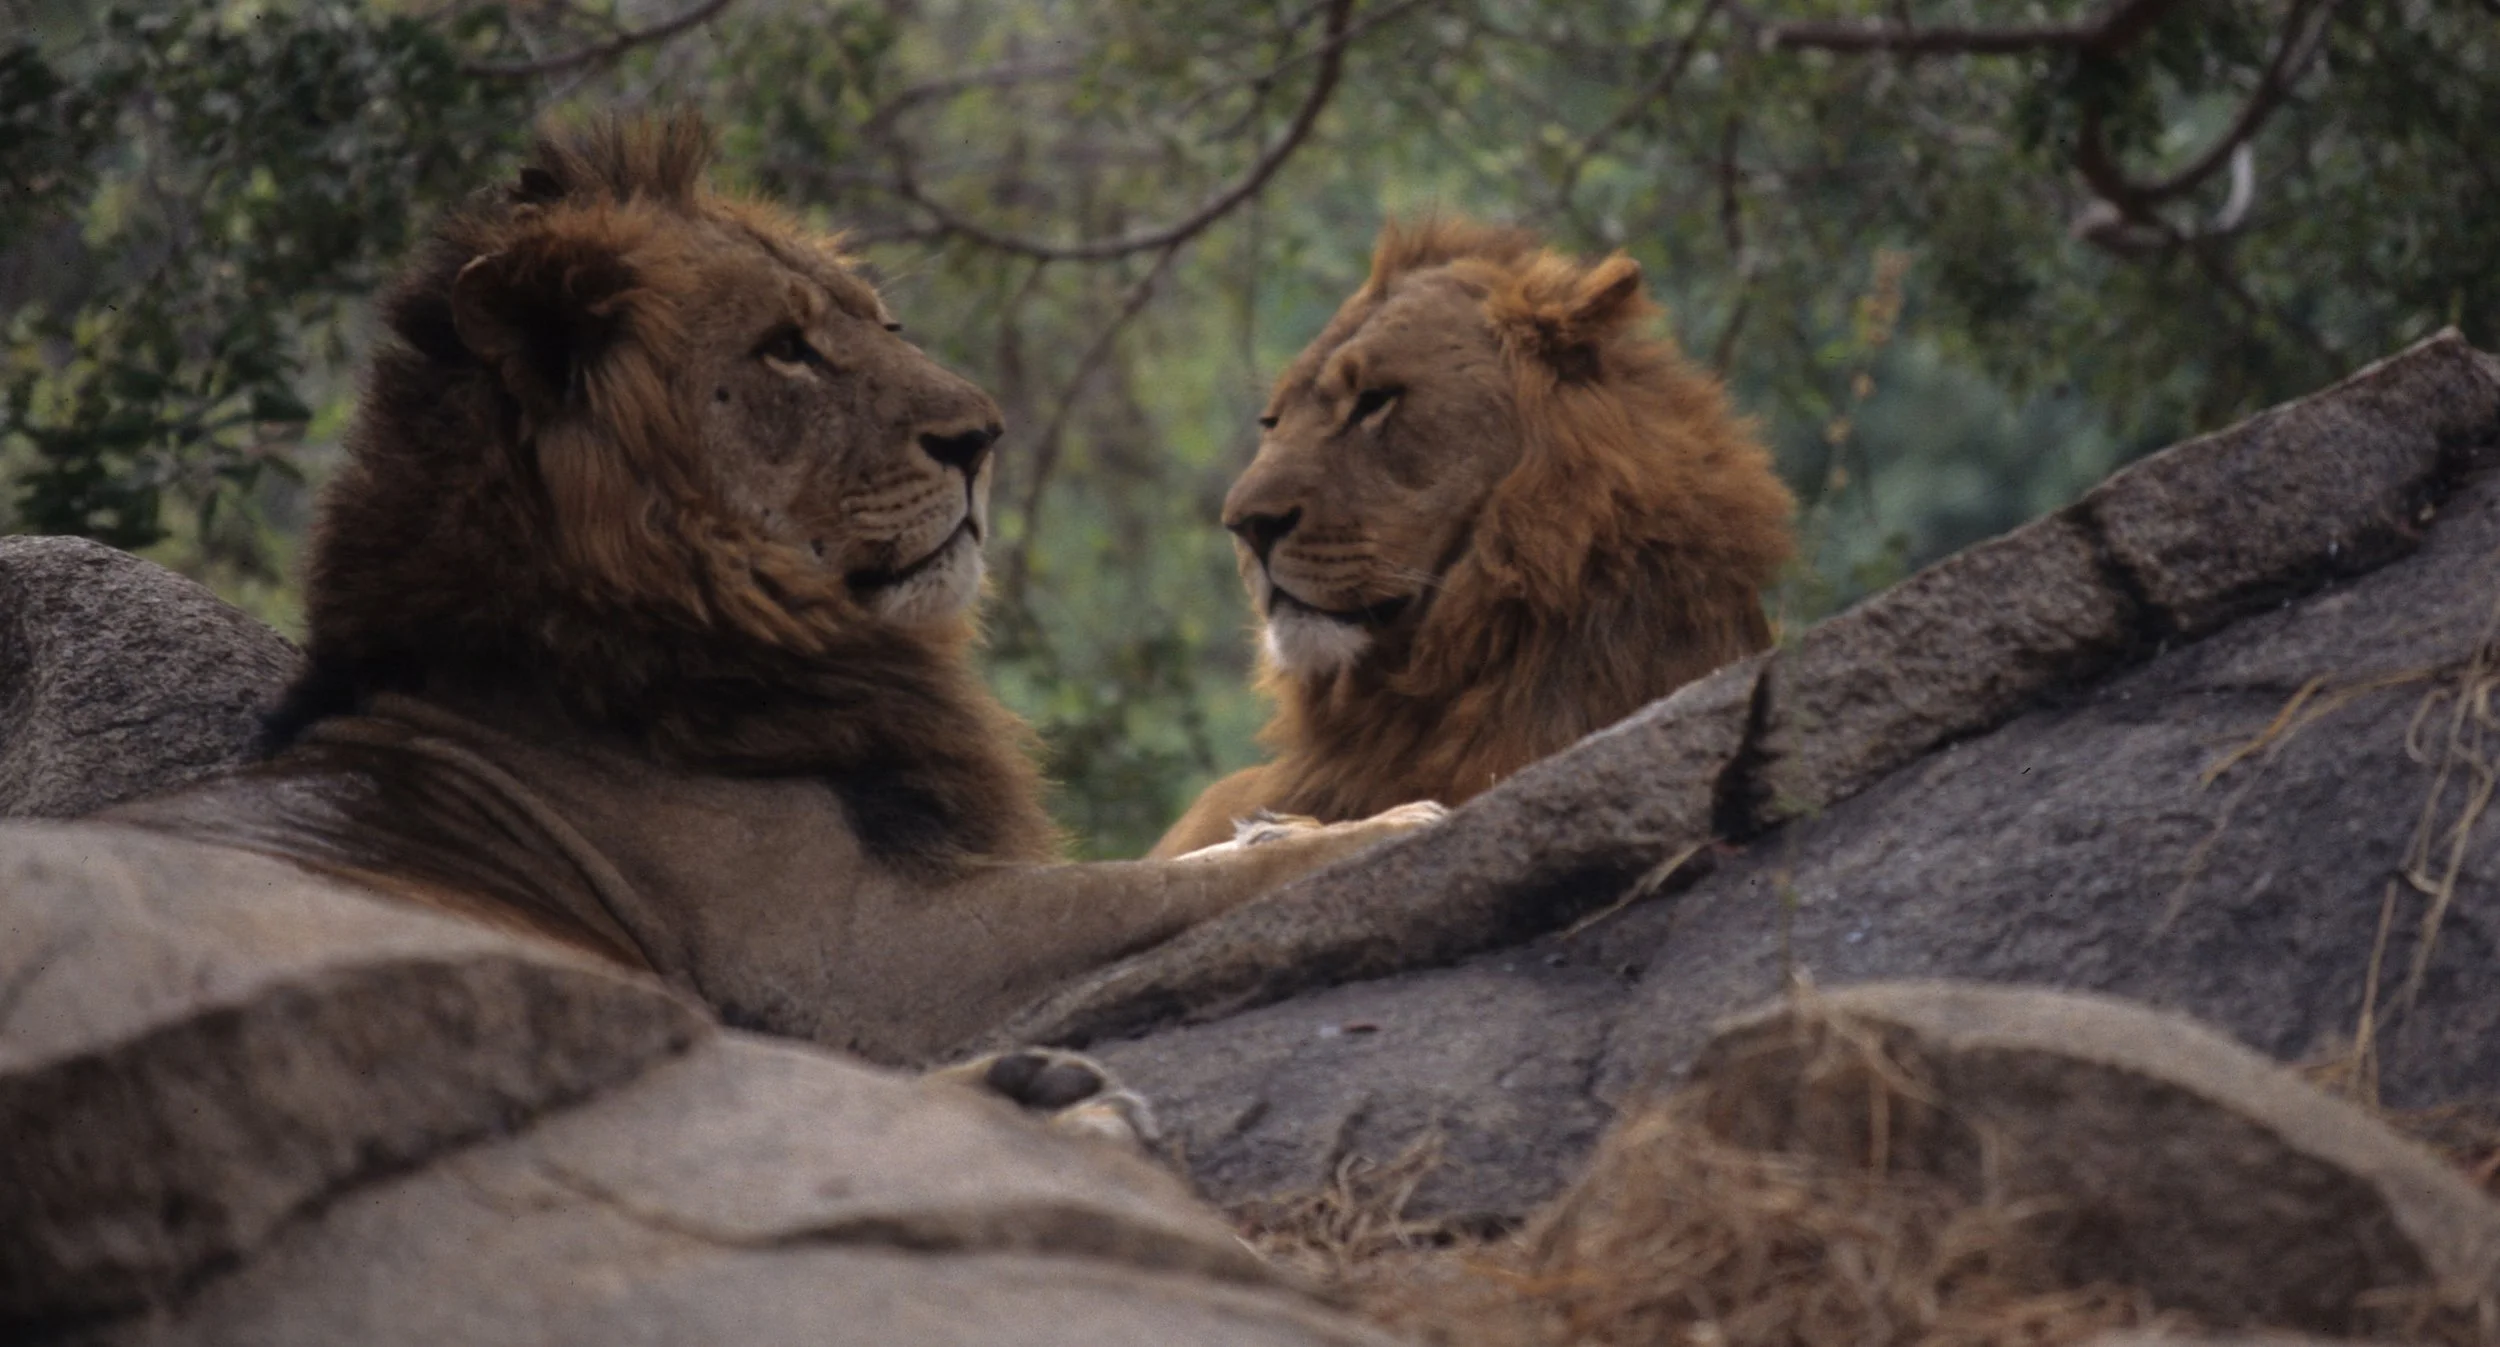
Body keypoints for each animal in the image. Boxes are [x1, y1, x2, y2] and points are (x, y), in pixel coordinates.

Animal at [97, 114, 1433, 1073]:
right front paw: (1395, 826)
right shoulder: (863, 960)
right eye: (784, 349)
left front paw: (1302, 823)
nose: (983, 437)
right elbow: (1161, 885)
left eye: (879, 322)